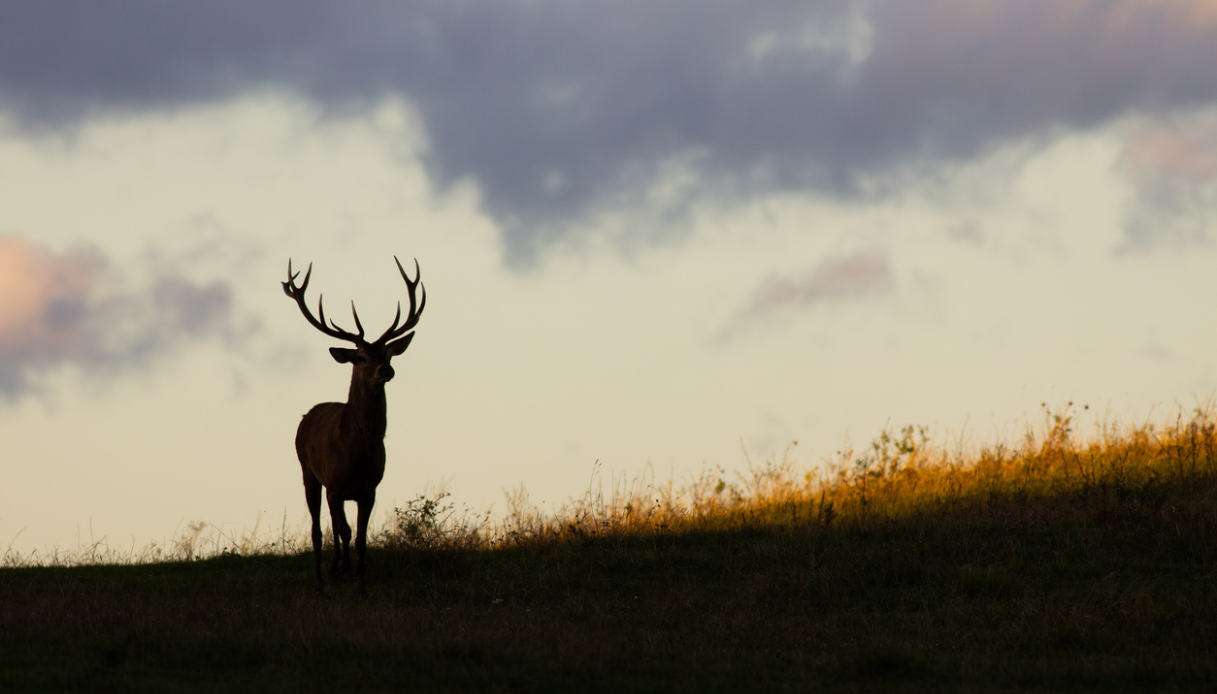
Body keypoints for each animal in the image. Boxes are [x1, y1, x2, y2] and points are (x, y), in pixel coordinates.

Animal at [282, 256, 425, 596]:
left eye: (387, 353)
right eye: (360, 356)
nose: (386, 370)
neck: (357, 454)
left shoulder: (369, 489)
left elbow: (360, 539)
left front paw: (361, 586)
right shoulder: (335, 486)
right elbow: (343, 531)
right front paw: (341, 570)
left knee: (335, 529)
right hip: (307, 471)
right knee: (318, 530)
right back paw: (322, 582)